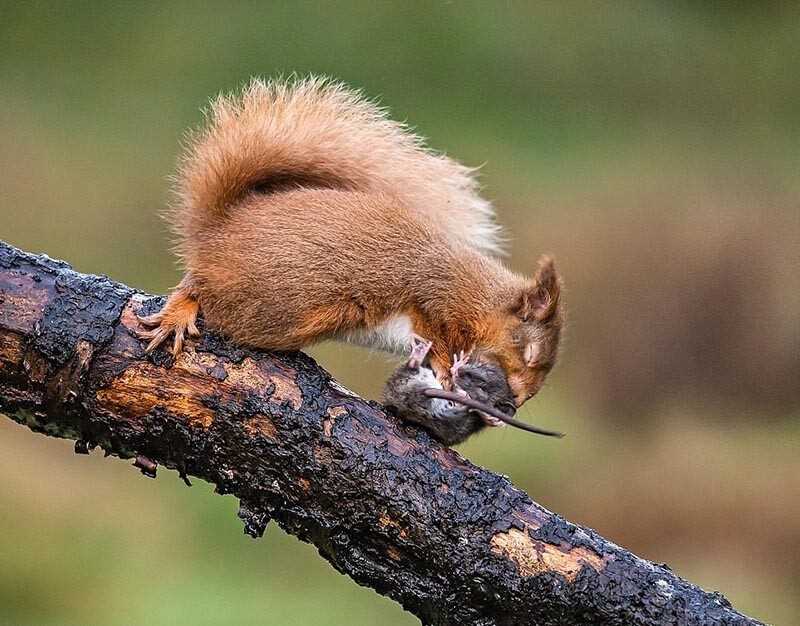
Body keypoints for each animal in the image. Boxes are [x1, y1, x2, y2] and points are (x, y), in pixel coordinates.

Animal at [139, 77, 564, 404]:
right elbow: (436, 340)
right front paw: (448, 376)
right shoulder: (434, 299)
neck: (479, 296)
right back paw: (178, 314)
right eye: (527, 350)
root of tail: (218, 230)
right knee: (198, 285)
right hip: (276, 305)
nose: (520, 400)